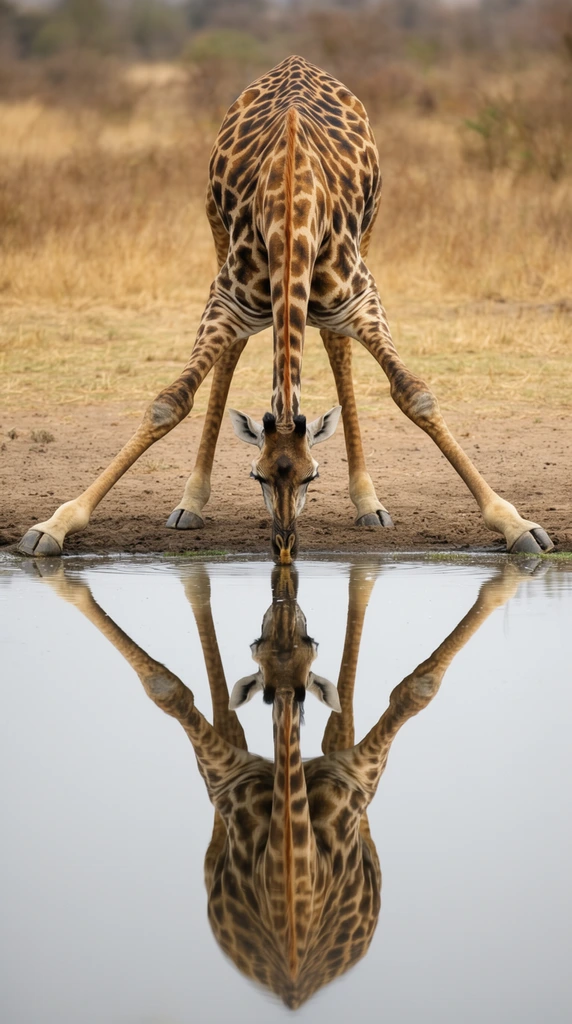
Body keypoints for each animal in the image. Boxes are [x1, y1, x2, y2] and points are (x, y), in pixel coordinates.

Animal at [18, 56, 553, 561]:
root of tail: (296, 62)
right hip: (215, 229)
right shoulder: (227, 300)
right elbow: (168, 403)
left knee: (336, 345)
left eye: (312, 476)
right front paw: (54, 525)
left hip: (370, 229)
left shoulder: (361, 298)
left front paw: (518, 525)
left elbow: (415, 395)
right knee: (232, 355)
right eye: (256, 476)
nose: (284, 547)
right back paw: (191, 503)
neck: (292, 208)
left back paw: (368, 503)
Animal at [36, 556, 529, 1008]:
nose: (285, 605)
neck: (292, 900)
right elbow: (167, 688)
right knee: (235, 714)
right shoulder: (224, 775)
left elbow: (416, 689)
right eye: (258, 644)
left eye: (309, 641)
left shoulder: (358, 775)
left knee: (337, 721)